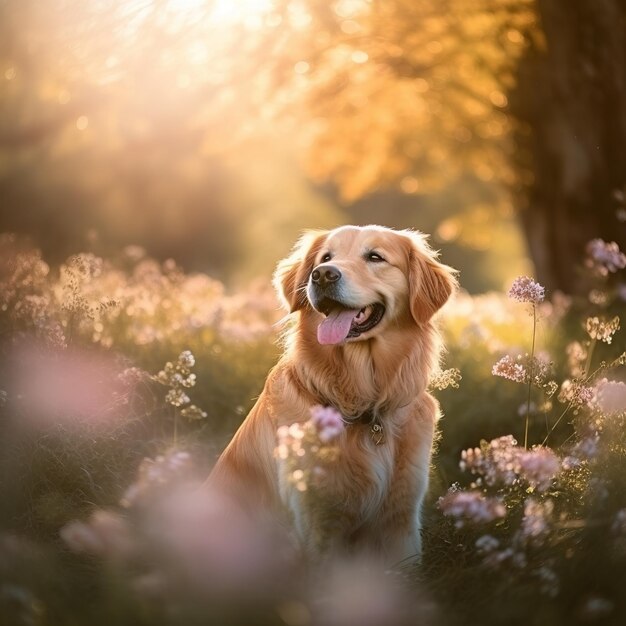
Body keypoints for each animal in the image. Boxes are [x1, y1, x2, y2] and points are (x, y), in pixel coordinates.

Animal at [207, 224, 456, 564]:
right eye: (325, 258)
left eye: (375, 257)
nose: (323, 275)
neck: (362, 404)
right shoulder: (318, 522)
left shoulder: (401, 518)